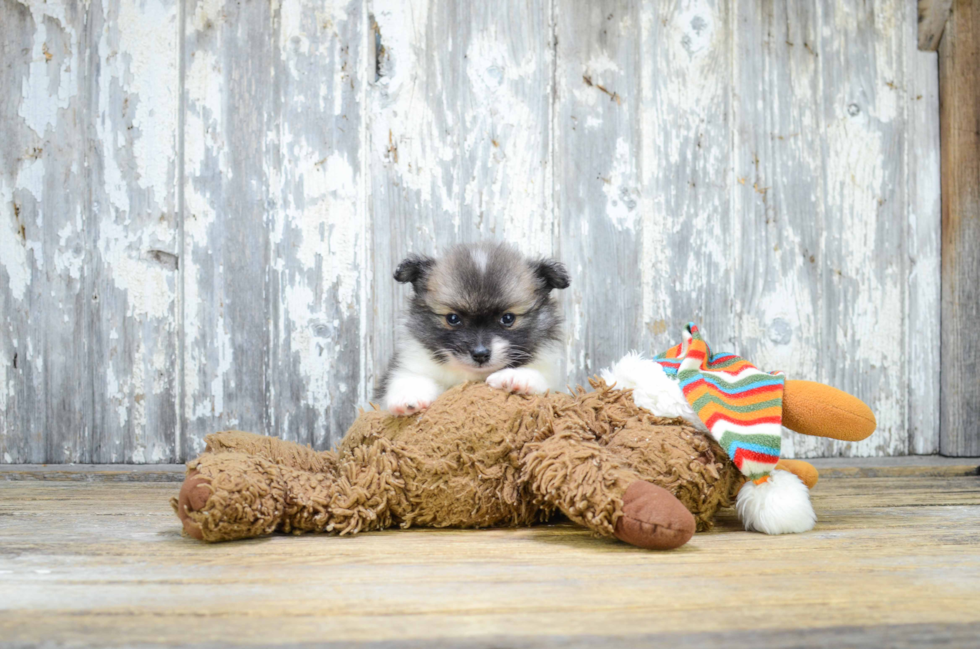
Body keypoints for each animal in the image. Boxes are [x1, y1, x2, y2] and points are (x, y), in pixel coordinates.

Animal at [378, 242, 572, 416]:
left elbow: (541, 379)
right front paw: (408, 396)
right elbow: (408, 378)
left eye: (508, 318)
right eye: (453, 318)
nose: (480, 354)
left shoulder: (553, 382)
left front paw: (516, 377)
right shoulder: (411, 365)